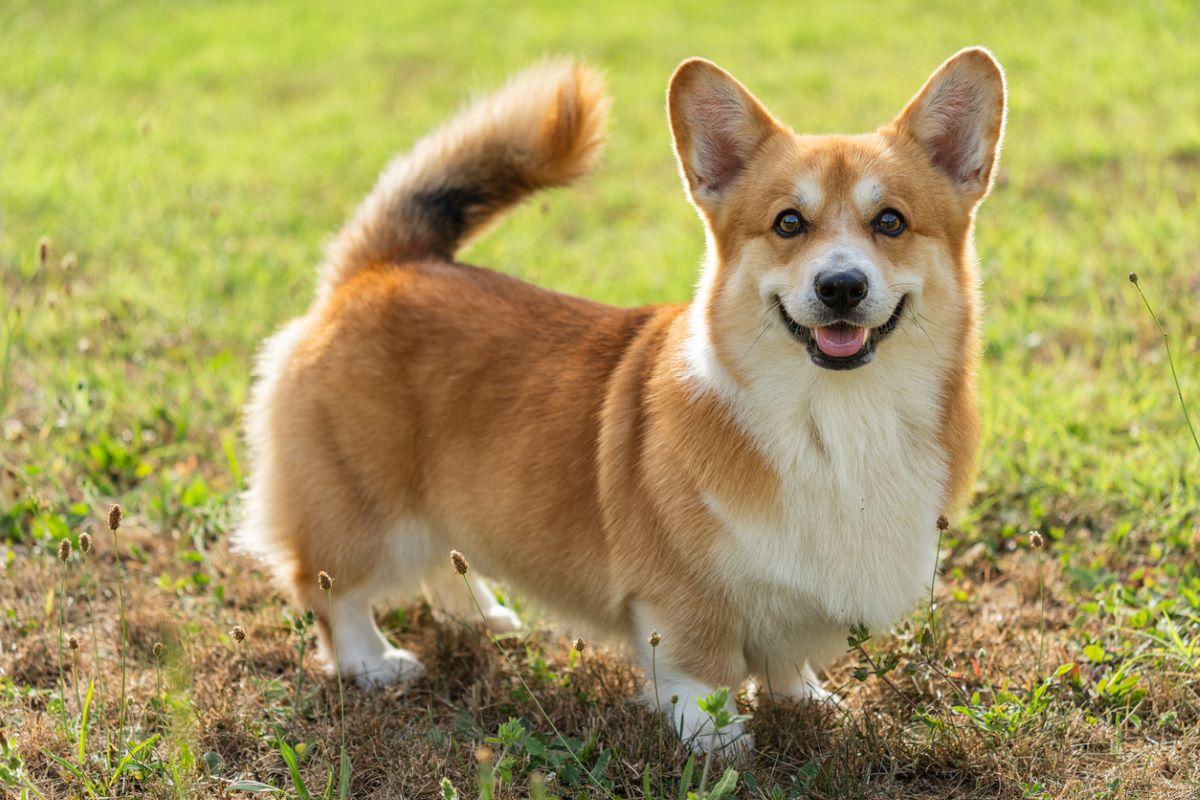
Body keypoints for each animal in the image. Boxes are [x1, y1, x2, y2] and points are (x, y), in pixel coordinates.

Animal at [234, 47, 1003, 753]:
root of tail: (380, 266)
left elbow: (786, 660)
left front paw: (809, 701)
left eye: (891, 222)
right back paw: (374, 664)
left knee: (439, 558)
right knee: (330, 588)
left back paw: (481, 618)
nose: (840, 287)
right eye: (789, 223)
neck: (838, 417)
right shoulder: (685, 596)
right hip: (361, 508)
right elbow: (704, 674)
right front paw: (719, 743)